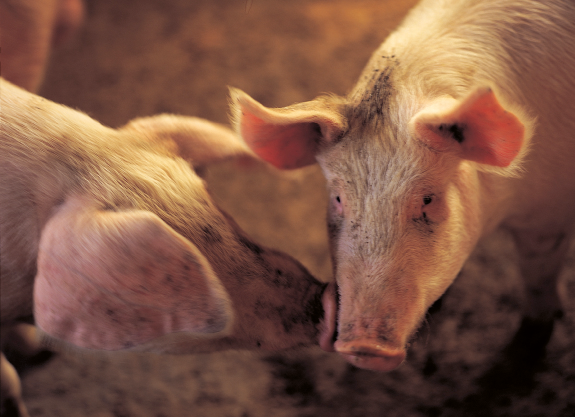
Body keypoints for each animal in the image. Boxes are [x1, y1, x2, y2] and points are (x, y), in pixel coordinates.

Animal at [229, 0, 575, 372]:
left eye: (428, 199)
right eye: (338, 198)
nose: (364, 345)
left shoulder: (547, 215)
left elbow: (537, 280)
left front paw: (513, 361)